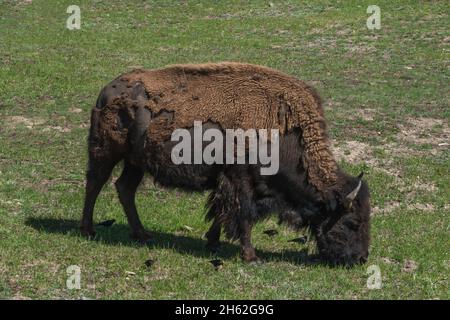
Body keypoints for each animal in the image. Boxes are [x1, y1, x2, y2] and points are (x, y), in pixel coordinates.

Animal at [79, 62, 370, 264]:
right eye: (352, 222)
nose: (361, 258)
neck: (284, 133)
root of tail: (107, 90)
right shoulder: (240, 181)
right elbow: (243, 215)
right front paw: (251, 257)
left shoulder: (226, 182)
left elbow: (220, 211)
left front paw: (212, 242)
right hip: (105, 153)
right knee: (95, 184)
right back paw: (88, 230)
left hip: (135, 162)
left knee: (124, 188)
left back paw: (142, 234)